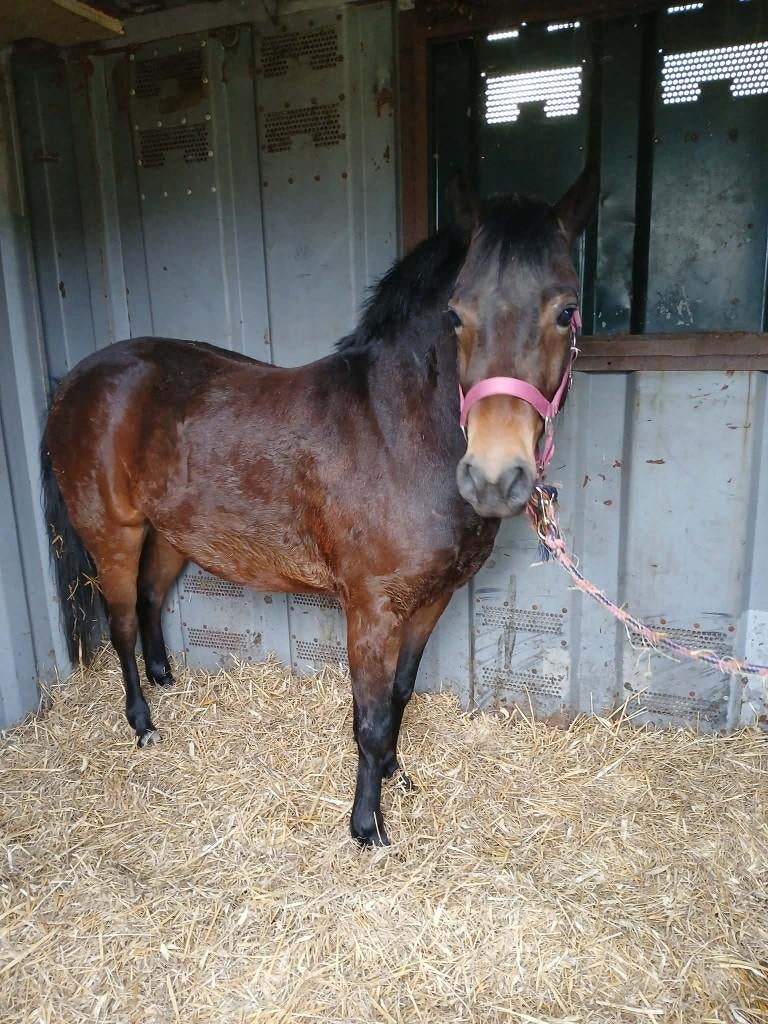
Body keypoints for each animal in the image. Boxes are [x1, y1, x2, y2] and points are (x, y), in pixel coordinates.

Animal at [40, 165, 598, 846]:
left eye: (566, 311)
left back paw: (165, 679)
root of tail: (75, 381)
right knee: (121, 618)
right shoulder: (372, 609)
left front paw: (395, 776)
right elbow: (370, 717)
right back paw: (143, 723)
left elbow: (400, 696)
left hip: (171, 534)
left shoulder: (430, 601)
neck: (397, 432)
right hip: (113, 532)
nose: (494, 478)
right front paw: (367, 826)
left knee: (149, 600)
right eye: (456, 314)